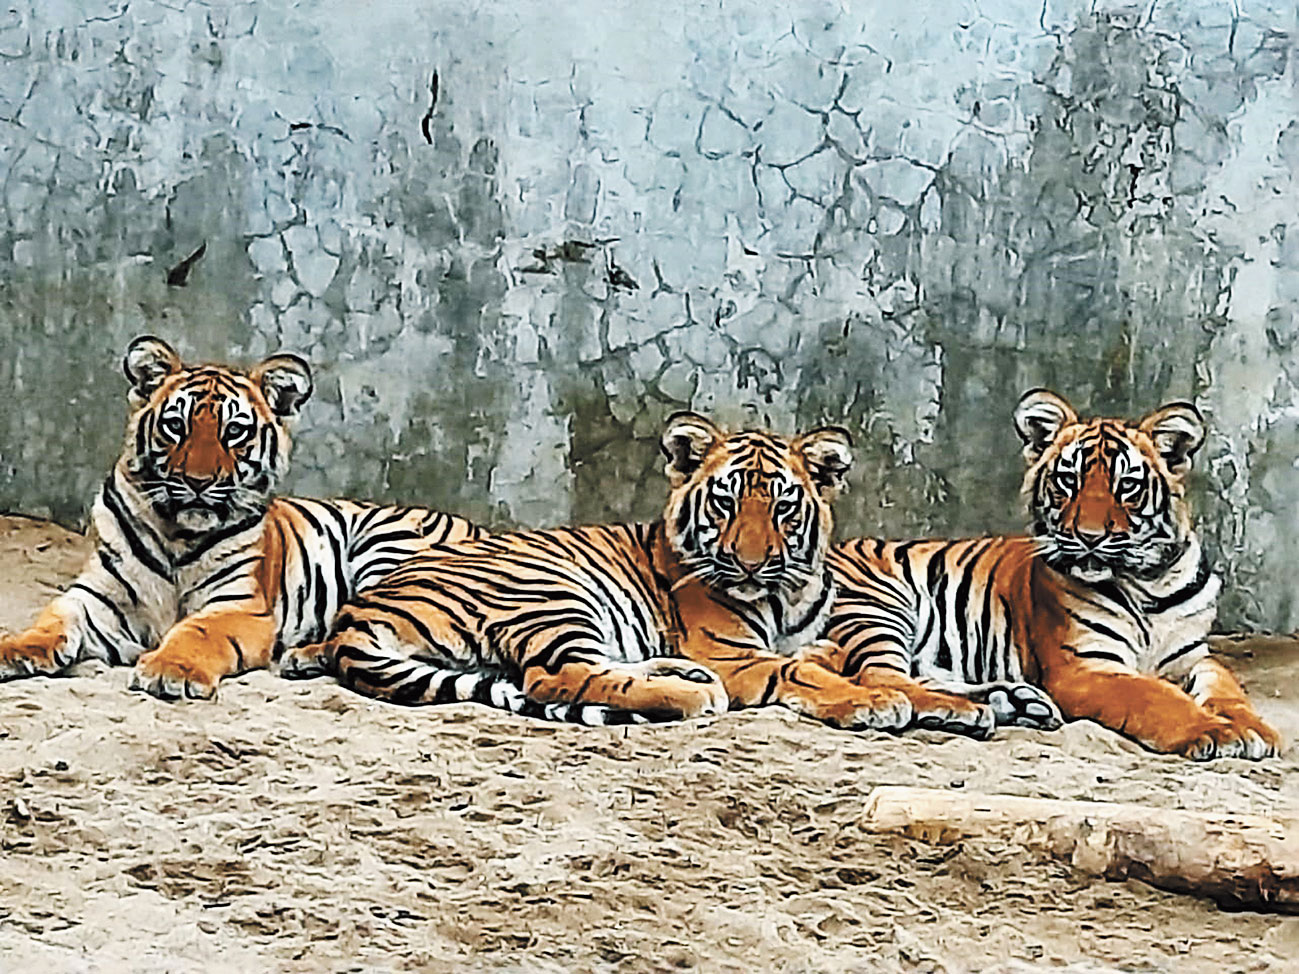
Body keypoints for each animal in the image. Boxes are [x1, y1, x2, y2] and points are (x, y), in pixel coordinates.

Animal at [0, 337, 483, 701]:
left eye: (234, 431)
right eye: (176, 425)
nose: (197, 482)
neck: (177, 534)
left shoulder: (238, 606)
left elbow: (196, 631)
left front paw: (170, 669)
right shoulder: (95, 595)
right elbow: (52, 619)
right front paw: (14, 649)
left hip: (385, 550)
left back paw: (304, 657)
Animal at [281, 412, 992, 732]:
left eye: (782, 505)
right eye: (727, 501)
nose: (750, 562)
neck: (789, 595)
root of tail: (359, 614)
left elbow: (860, 665)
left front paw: (953, 704)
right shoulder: (735, 654)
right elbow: (808, 675)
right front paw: (875, 702)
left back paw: (678, 676)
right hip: (555, 594)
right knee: (557, 677)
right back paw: (692, 693)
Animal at [815, 389, 1283, 763]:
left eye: (1126, 485)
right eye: (1068, 480)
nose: (1090, 538)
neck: (1150, 581)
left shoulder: (1194, 655)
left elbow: (1227, 687)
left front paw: (1254, 728)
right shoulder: (1085, 666)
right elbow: (1156, 696)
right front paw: (1214, 731)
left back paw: (1014, 701)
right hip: (876, 607)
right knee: (882, 677)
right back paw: (968, 711)